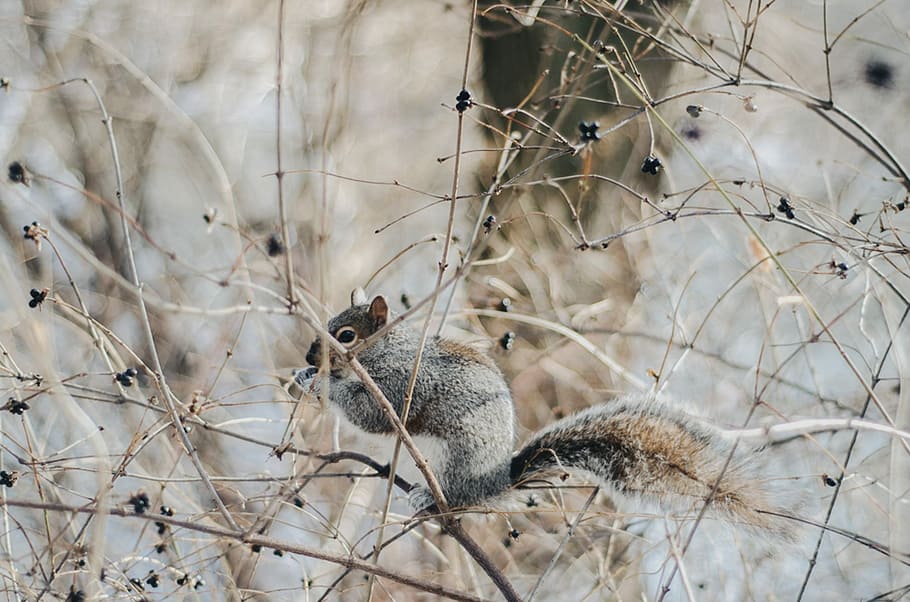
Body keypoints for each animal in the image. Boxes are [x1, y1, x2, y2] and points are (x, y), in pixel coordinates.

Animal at [296, 291, 788, 535]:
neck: (385, 353)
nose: (309, 355)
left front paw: (323, 384)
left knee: (460, 497)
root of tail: (497, 480)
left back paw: (429, 500)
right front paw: (304, 378)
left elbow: (372, 413)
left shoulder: (404, 384)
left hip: (459, 461)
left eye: (346, 334)